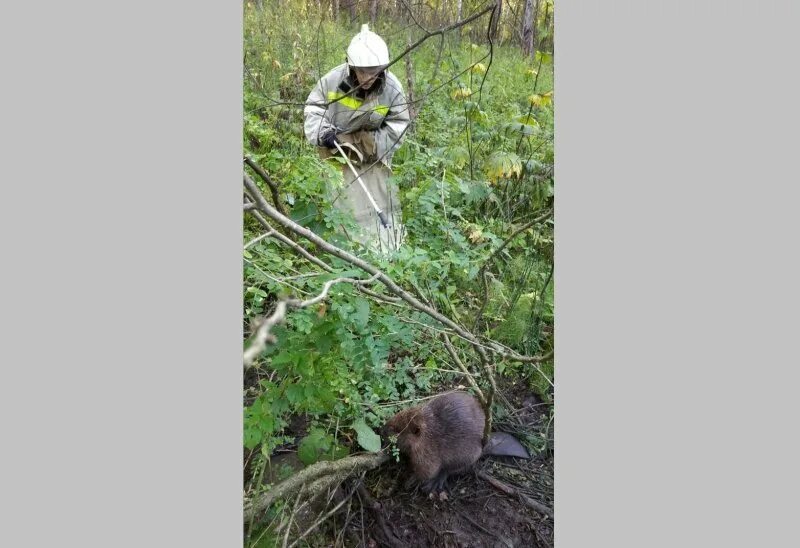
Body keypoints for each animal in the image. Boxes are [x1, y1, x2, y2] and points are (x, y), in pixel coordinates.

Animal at [382, 392, 532, 494]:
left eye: (397, 429)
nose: (381, 429)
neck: (428, 431)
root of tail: (487, 443)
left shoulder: (428, 453)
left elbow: (428, 471)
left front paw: (410, 481)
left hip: (465, 457)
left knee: (450, 470)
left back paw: (436, 482)